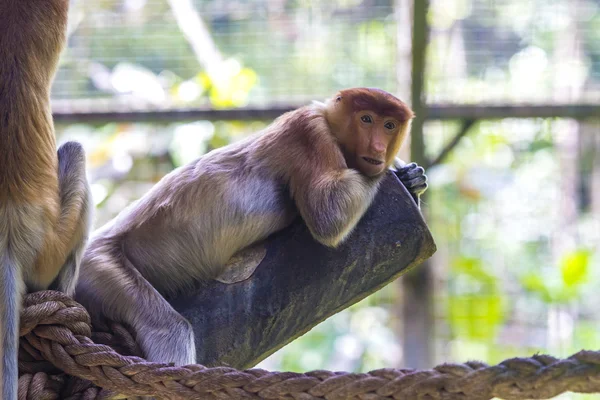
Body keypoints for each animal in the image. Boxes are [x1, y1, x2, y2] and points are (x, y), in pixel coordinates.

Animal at [75, 89, 426, 368]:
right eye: (366, 119)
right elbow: (328, 214)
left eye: (389, 125)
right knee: (169, 330)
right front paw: (398, 172)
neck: (330, 123)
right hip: (99, 265)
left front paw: (412, 177)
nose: (378, 150)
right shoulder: (308, 130)